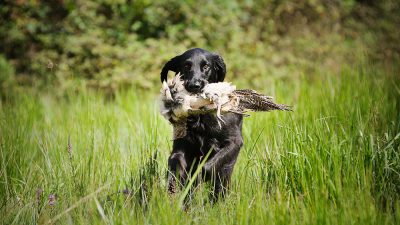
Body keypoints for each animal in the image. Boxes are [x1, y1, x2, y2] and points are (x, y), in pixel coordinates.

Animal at [160, 48, 244, 199]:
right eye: (186, 66)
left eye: (206, 67)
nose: (195, 86)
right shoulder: (181, 147)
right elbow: (175, 161)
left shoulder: (234, 142)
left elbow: (207, 168)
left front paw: (198, 179)